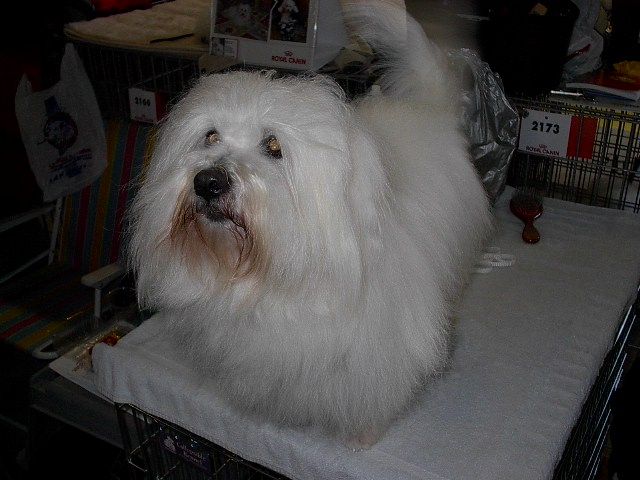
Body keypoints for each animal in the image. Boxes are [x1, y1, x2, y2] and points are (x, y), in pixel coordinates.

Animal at [128, 0, 492, 448]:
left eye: (273, 146)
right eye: (210, 136)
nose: (208, 182)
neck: (268, 279)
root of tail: (428, 108)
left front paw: (364, 436)